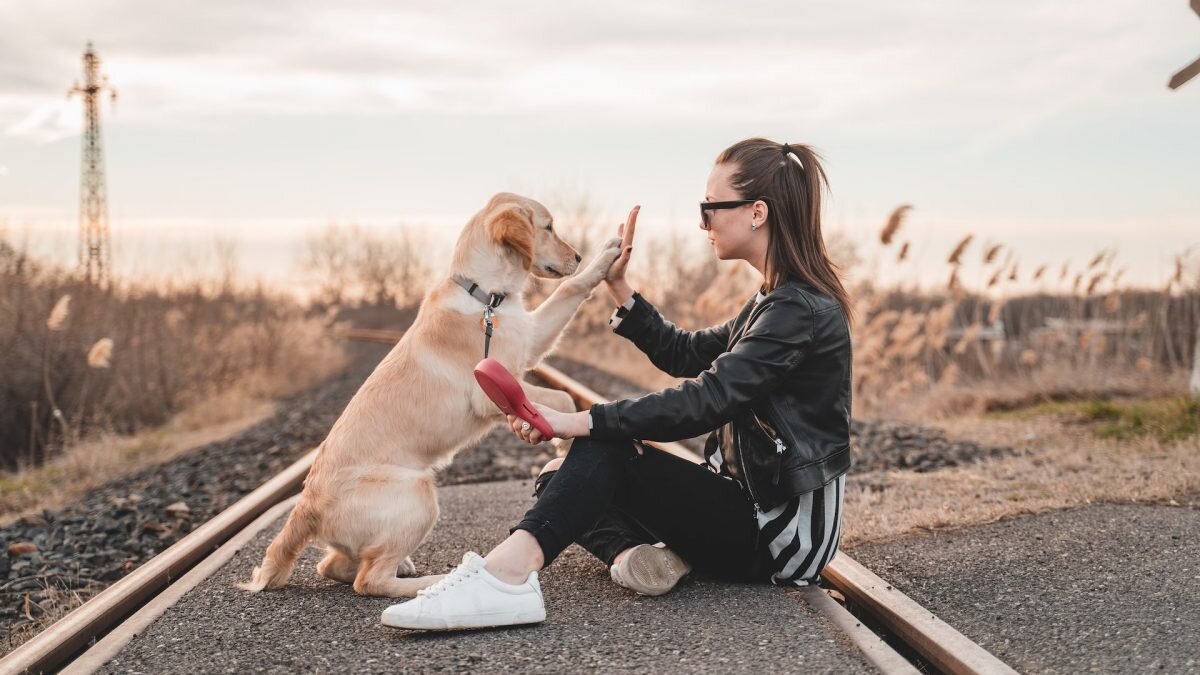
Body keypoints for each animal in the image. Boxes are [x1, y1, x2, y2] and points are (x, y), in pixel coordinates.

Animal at [240, 193, 624, 593]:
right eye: (548, 227)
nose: (578, 256)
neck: (485, 297)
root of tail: (306, 506)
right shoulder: (490, 389)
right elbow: (562, 399)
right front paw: (563, 443)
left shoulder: (530, 339)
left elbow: (570, 289)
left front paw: (605, 256)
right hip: (419, 493)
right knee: (369, 580)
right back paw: (437, 580)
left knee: (332, 565)